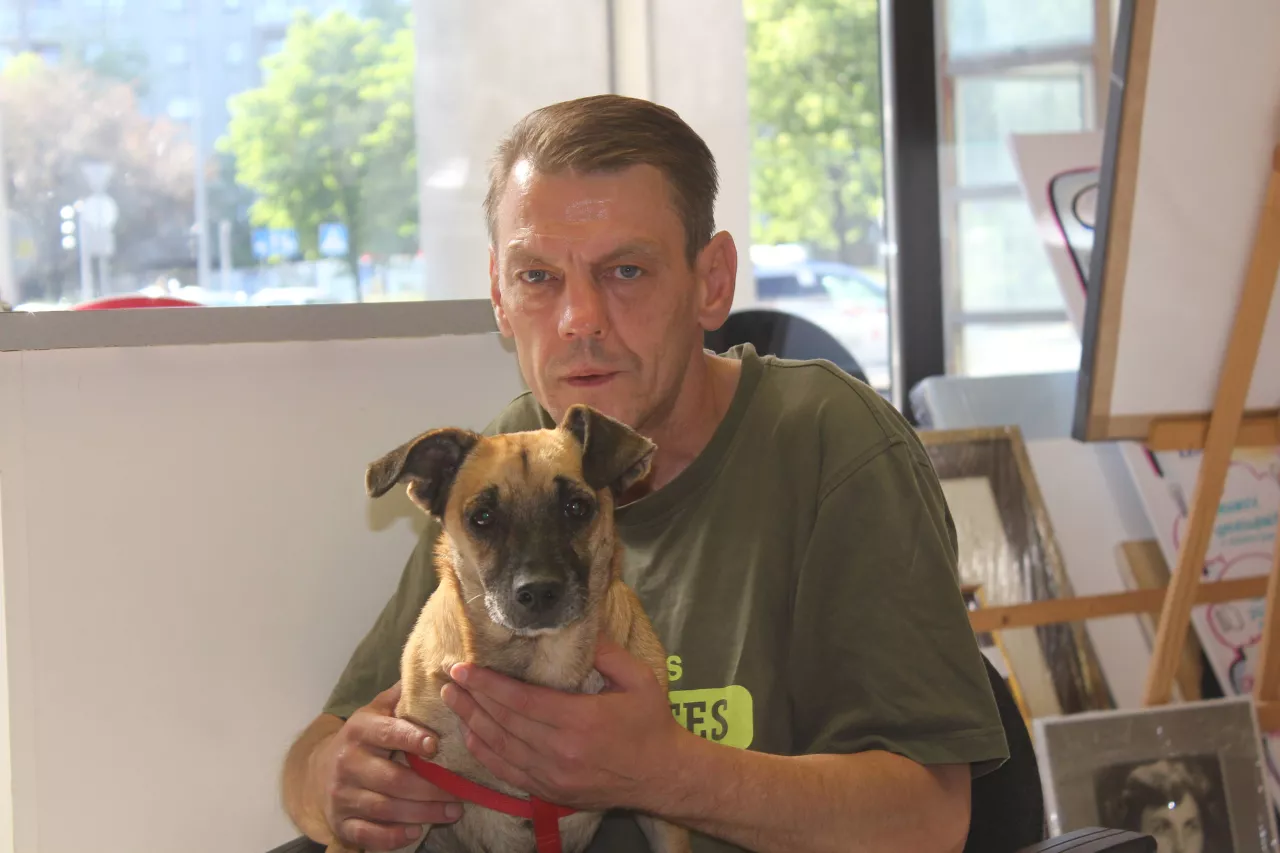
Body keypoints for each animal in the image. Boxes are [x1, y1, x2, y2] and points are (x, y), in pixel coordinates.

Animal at [329, 404, 690, 853]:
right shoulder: (405, 810)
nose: (538, 592)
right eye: (482, 518)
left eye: (576, 507)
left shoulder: (664, 821)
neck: (539, 661)